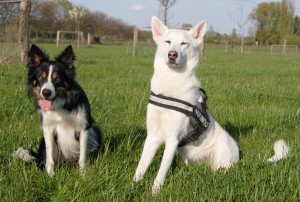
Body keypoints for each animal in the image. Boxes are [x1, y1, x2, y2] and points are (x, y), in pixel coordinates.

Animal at [13, 44, 103, 175]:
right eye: (40, 77)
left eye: (58, 78)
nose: (46, 93)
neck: (60, 104)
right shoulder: (48, 127)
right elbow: (50, 157)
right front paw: (50, 175)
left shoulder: (83, 127)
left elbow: (82, 157)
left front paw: (82, 175)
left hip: (95, 132)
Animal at [134, 16, 239, 193]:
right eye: (168, 42)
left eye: (184, 43)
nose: (172, 54)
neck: (170, 87)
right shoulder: (152, 136)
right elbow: (141, 166)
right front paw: (132, 185)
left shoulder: (173, 139)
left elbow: (162, 170)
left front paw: (154, 192)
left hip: (221, 158)